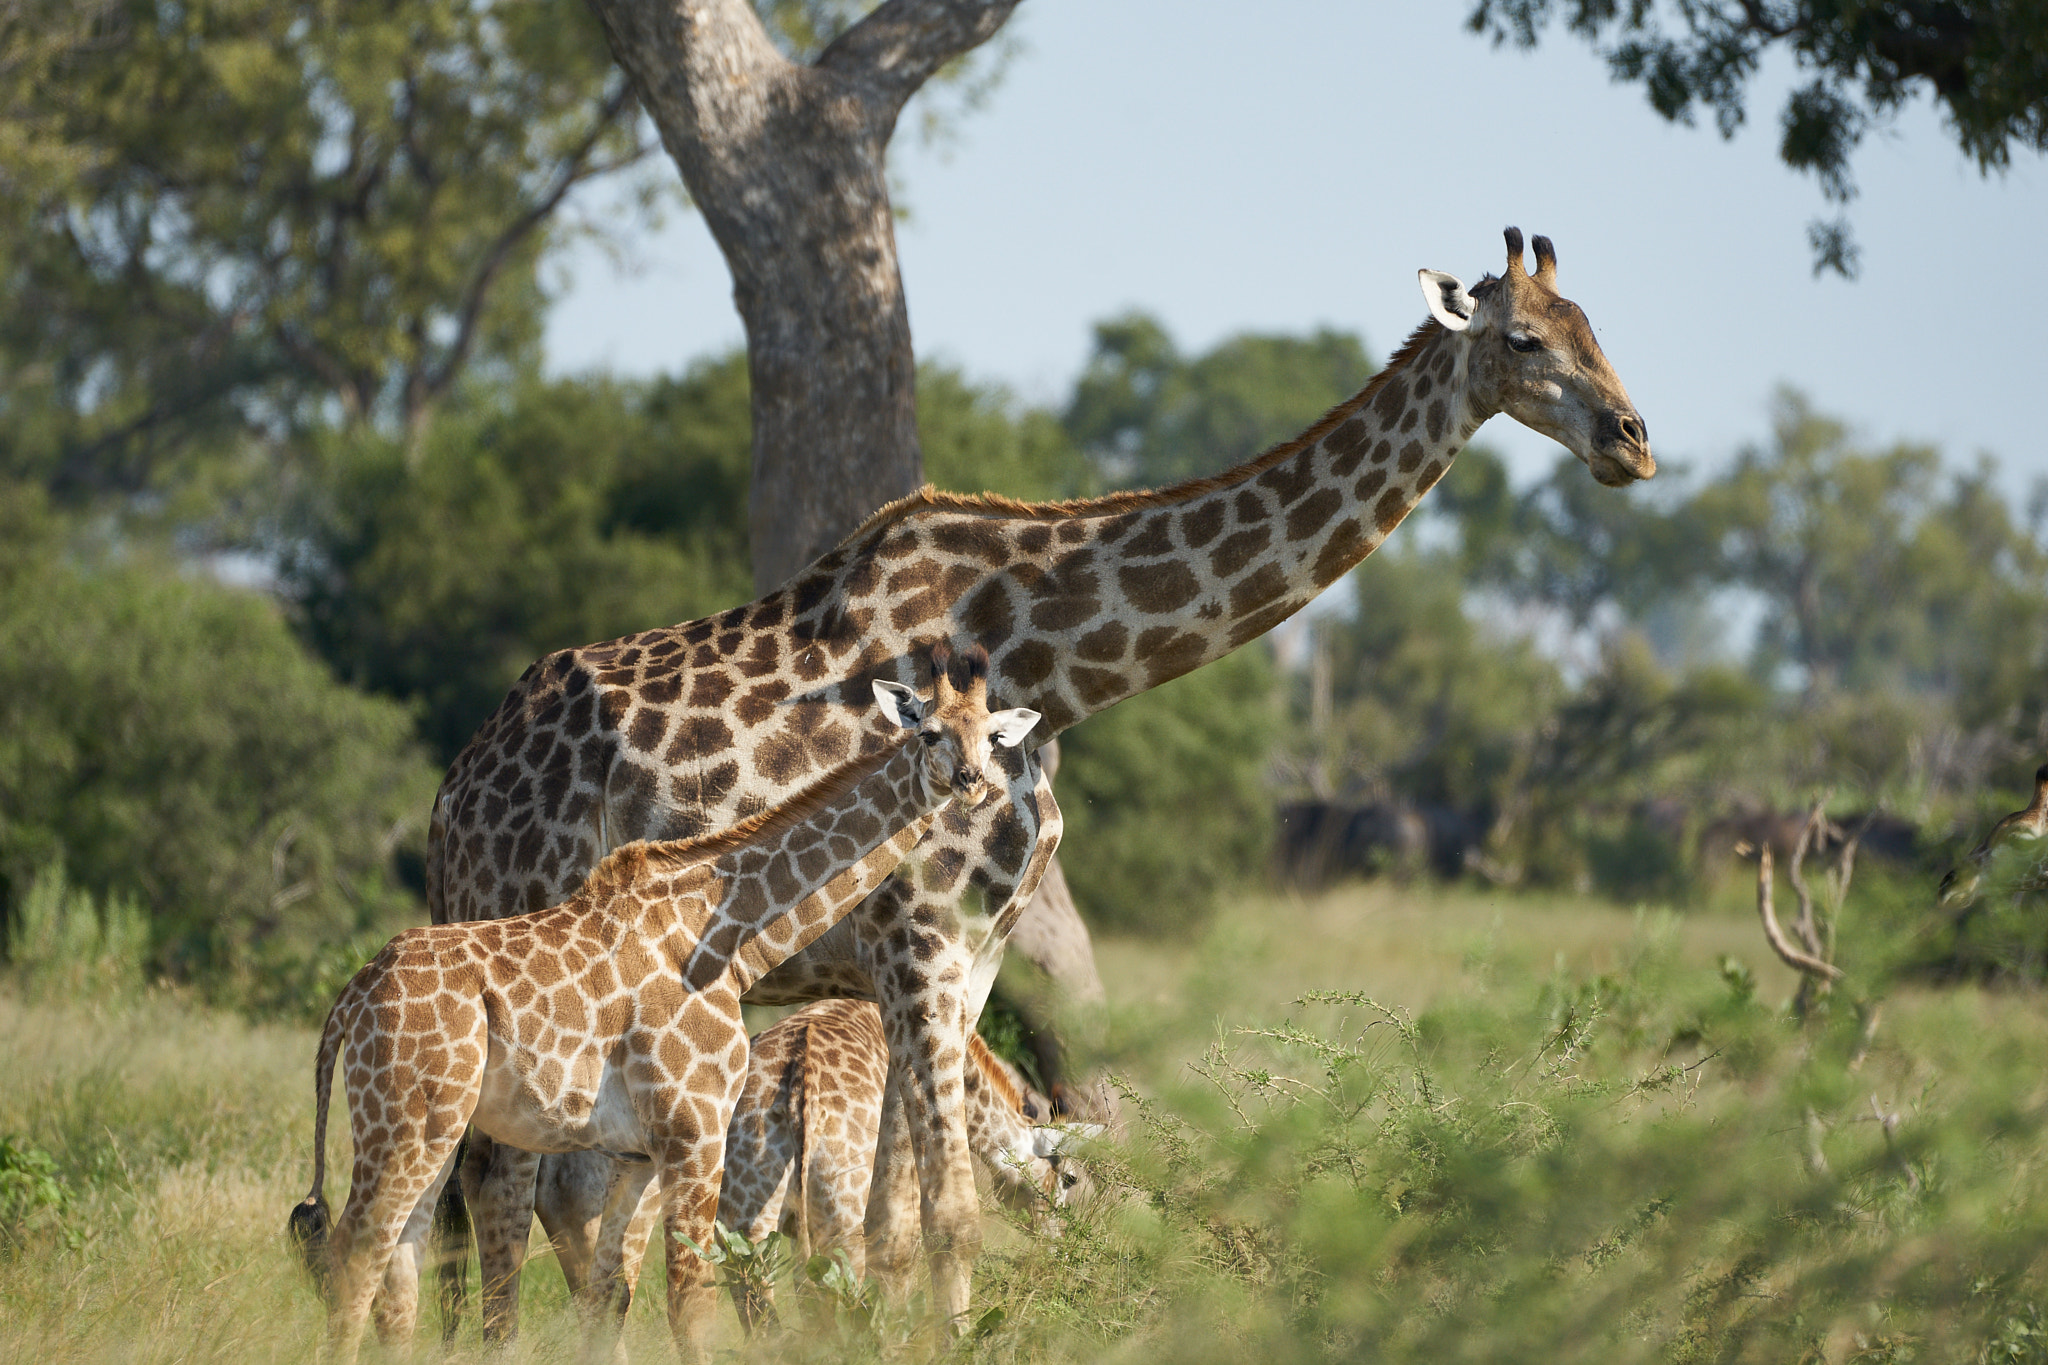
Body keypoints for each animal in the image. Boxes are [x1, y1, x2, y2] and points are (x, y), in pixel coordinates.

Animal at [288, 646, 1032, 1358]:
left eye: (993, 736)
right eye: (930, 732)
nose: (971, 781)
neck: (727, 934)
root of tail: (351, 998)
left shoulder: (639, 1154)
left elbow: (609, 1292)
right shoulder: (694, 1130)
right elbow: (689, 1304)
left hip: (428, 1126)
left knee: (400, 1258)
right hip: (407, 1121)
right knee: (356, 1249)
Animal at [428, 227, 1646, 1334]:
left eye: (1597, 328)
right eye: (1525, 339)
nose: (1630, 441)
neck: (1048, 665)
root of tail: (453, 794)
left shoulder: (968, 957)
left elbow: (894, 1228)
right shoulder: (915, 943)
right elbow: (948, 1215)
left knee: (545, 1189)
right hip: (527, 949)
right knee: (498, 1180)